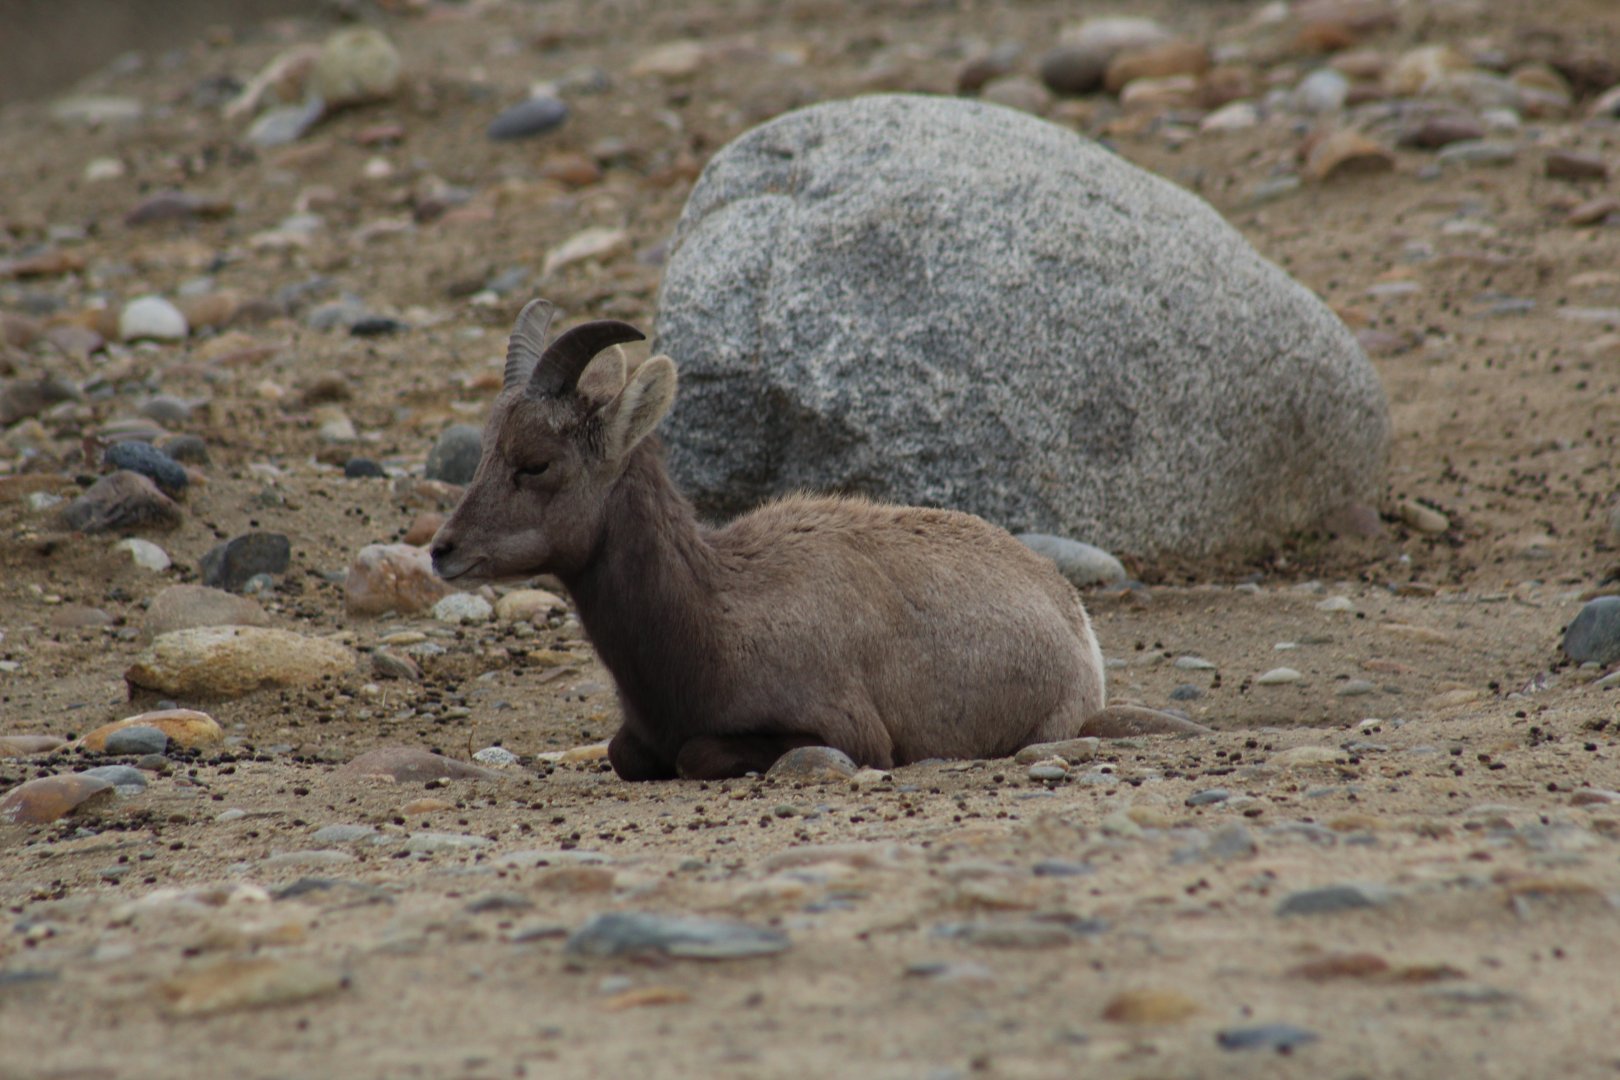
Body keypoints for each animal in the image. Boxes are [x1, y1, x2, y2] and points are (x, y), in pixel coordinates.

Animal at [430, 299, 1106, 780]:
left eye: (536, 463)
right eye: (486, 449)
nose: (443, 550)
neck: (714, 620)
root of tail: (1072, 613)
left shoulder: (848, 733)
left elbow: (697, 754)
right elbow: (627, 753)